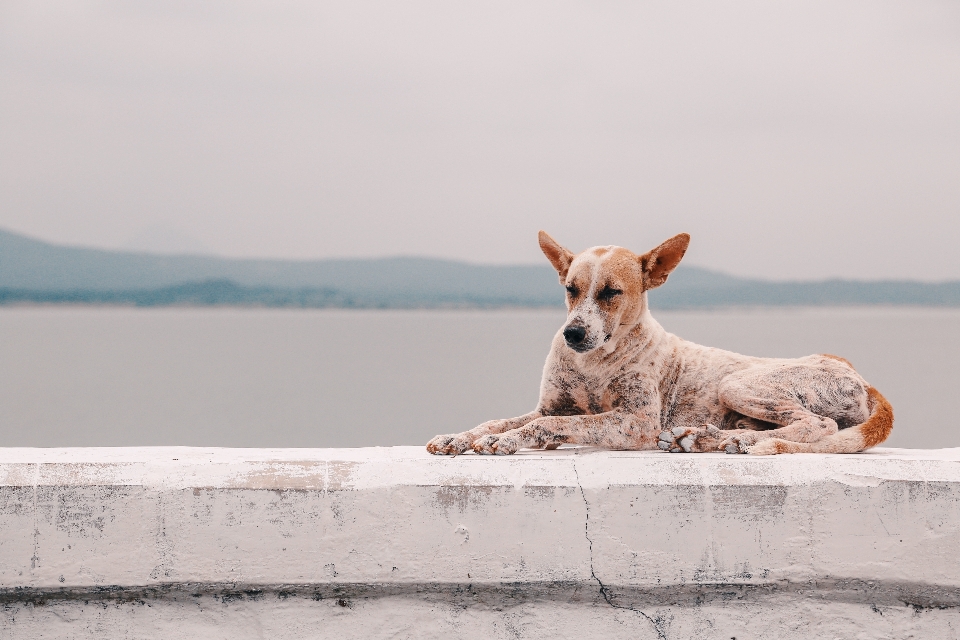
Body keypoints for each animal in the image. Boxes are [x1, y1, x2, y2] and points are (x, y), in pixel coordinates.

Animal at [428, 230, 892, 456]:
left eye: (611, 292)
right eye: (570, 289)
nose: (572, 334)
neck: (595, 362)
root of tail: (861, 377)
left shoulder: (635, 422)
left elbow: (541, 427)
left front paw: (504, 442)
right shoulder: (551, 406)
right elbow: (500, 421)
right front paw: (460, 437)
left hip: (740, 384)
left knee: (819, 425)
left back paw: (733, 442)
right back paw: (708, 438)